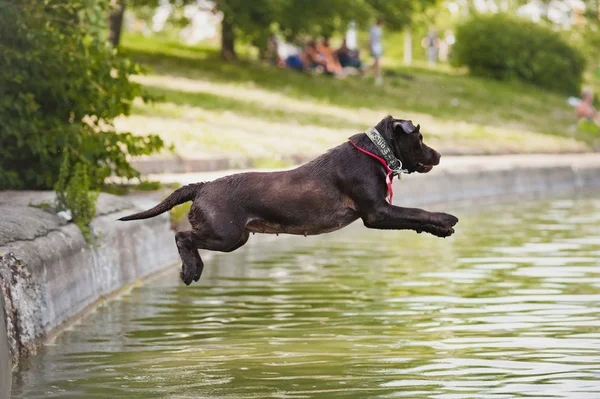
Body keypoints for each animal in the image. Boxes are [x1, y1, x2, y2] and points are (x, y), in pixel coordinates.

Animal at [120, 117, 460, 286]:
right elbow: (416, 211)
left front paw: (441, 230)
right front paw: (445, 219)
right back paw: (191, 270)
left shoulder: (384, 213)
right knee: (182, 236)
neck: (374, 152)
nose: (439, 155)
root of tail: (202, 186)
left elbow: (414, 218)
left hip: (234, 237)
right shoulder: (376, 213)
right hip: (226, 235)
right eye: (419, 137)